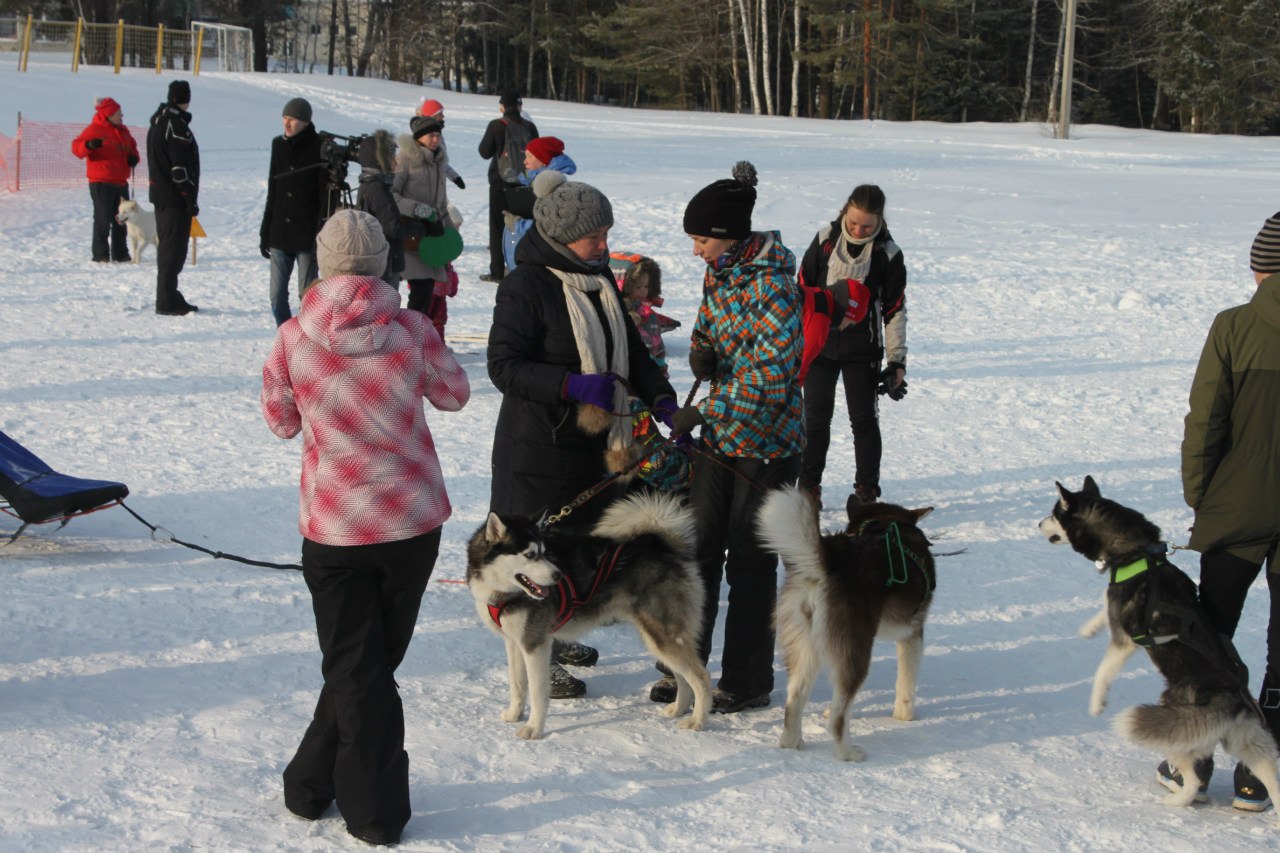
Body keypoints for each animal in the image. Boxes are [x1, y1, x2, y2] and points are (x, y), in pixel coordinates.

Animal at [468, 491, 716, 737]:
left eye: (544, 553)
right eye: (530, 555)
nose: (558, 575)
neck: (504, 592)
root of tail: (665, 547)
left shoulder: (535, 644)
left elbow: (537, 693)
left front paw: (533, 728)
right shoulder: (515, 642)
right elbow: (518, 684)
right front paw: (514, 715)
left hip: (662, 635)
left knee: (701, 678)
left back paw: (697, 721)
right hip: (657, 638)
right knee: (682, 677)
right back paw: (679, 709)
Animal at [752, 484, 936, 758]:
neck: (886, 524)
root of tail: (830, 562)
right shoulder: (913, 633)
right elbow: (906, 683)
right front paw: (905, 716)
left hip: (806, 647)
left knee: (794, 701)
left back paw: (792, 742)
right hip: (856, 649)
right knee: (838, 718)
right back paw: (848, 754)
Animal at [1039, 471, 1280, 819]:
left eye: (1055, 514)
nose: (1038, 524)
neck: (1139, 551)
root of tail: (1228, 700)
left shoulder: (1125, 642)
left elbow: (1102, 671)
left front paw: (1097, 703)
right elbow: (1104, 604)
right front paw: (1089, 627)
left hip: (1175, 732)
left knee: (1193, 780)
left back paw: (1176, 799)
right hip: (1248, 744)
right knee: (1270, 780)